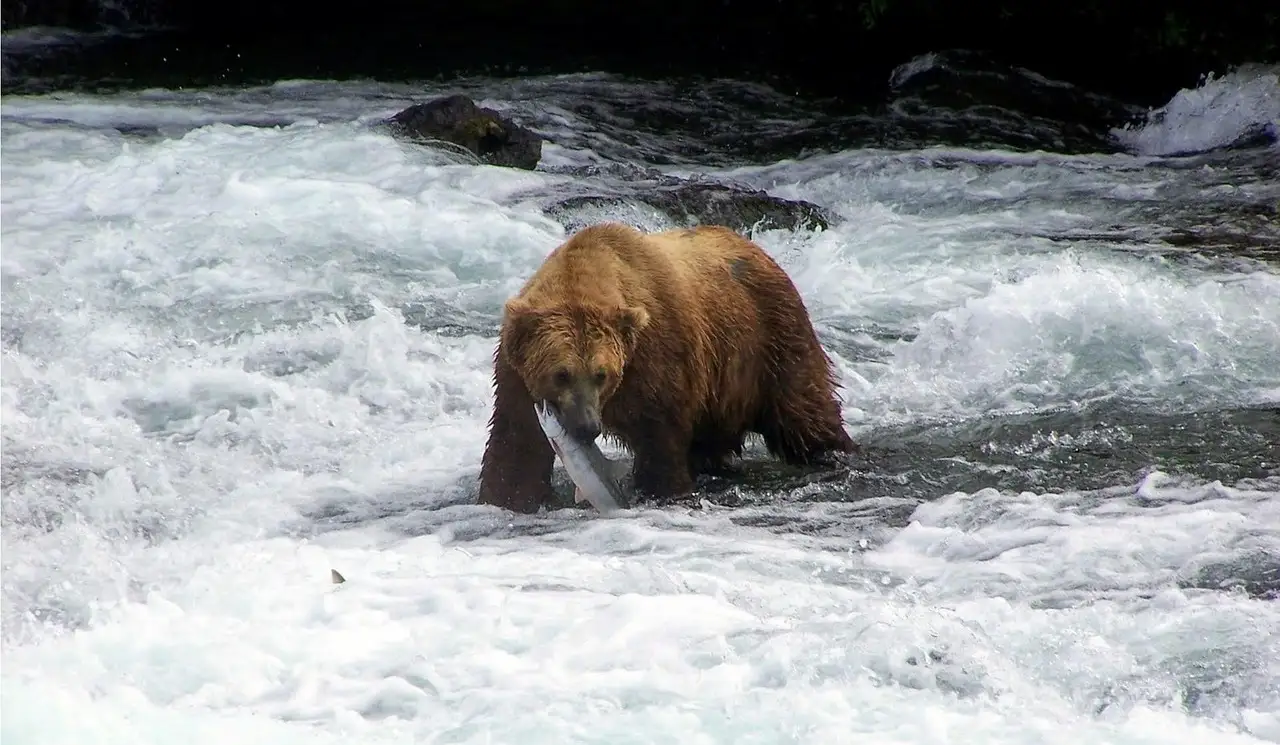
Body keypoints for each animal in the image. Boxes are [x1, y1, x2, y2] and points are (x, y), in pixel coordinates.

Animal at [476, 221, 856, 513]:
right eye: (561, 374)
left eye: (601, 374)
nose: (587, 427)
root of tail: (755, 247)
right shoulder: (515, 373)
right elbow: (516, 447)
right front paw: (508, 498)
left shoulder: (657, 361)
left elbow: (659, 441)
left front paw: (661, 490)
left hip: (770, 339)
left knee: (804, 412)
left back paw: (834, 454)